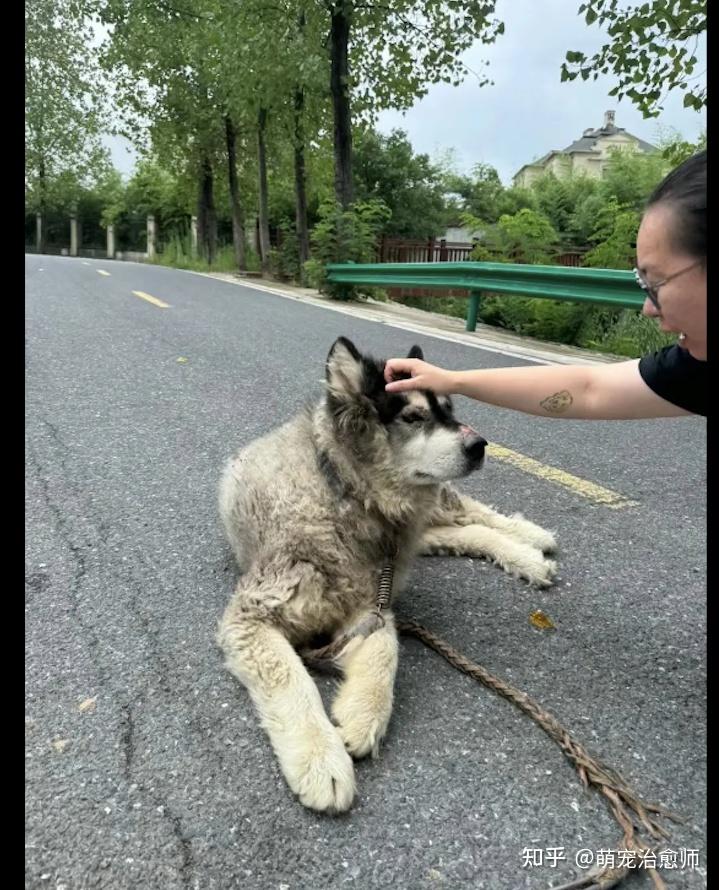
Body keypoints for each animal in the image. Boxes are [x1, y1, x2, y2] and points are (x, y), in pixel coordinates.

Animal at [217, 336, 560, 808]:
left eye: (449, 411)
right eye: (413, 417)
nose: (479, 445)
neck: (346, 496)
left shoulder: (370, 604)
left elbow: (386, 651)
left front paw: (362, 716)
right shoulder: (253, 616)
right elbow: (293, 678)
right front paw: (322, 760)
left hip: (429, 516)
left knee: (470, 510)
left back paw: (531, 538)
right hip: (416, 540)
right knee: (466, 530)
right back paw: (526, 552)